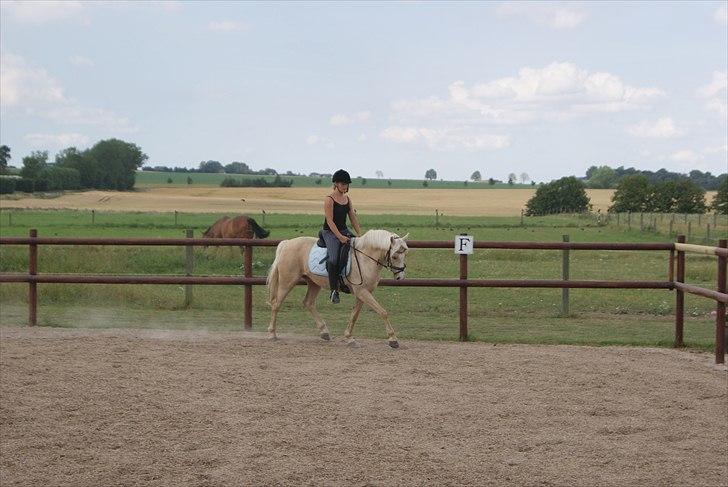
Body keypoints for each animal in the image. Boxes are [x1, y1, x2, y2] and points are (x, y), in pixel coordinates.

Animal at [266, 229, 409, 348]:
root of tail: (287, 243)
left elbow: (354, 315)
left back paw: (324, 332)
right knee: (276, 304)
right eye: (395, 256)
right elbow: (383, 312)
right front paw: (393, 339)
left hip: (314, 283)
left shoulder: (363, 293)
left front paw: (349, 338)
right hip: (287, 282)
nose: (400, 277)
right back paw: (272, 334)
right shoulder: (362, 292)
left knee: (308, 303)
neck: (365, 258)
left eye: (405, 255)